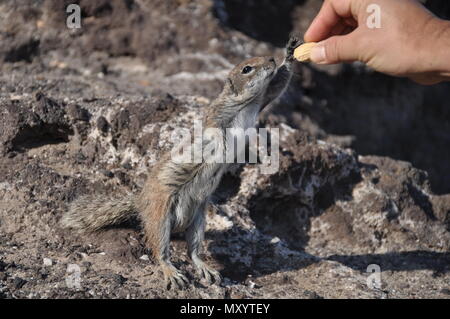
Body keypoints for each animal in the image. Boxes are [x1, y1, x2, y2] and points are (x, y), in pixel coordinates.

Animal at [59, 37, 298, 290]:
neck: (245, 103)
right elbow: (214, 133)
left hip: (199, 219)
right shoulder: (216, 115)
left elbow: (278, 84)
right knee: (159, 251)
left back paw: (204, 267)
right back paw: (171, 272)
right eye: (246, 69)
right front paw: (223, 150)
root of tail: (140, 201)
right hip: (161, 216)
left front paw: (290, 53)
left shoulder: (264, 99)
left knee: (193, 251)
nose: (271, 59)